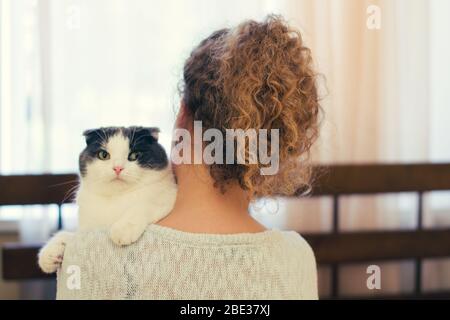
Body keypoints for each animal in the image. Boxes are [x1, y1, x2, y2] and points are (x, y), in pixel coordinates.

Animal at [37, 126, 178, 274]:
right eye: (103, 155)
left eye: (134, 155)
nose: (117, 168)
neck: (115, 198)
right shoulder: (86, 229)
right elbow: (68, 234)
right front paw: (50, 252)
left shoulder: (168, 194)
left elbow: (145, 204)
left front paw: (124, 228)